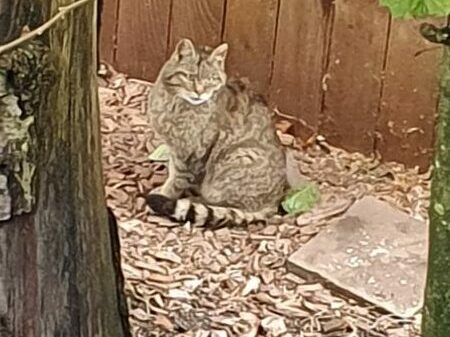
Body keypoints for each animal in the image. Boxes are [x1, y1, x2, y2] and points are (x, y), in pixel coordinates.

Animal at [147, 39, 288, 227]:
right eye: (190, 77)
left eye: (211, 80)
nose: (200, 92)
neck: (175, 103)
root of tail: (274, 202)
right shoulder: (176, 148)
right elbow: (172, 172)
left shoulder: (193, 153)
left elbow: (178, 180)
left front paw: (165, 195)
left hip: (238, 157)